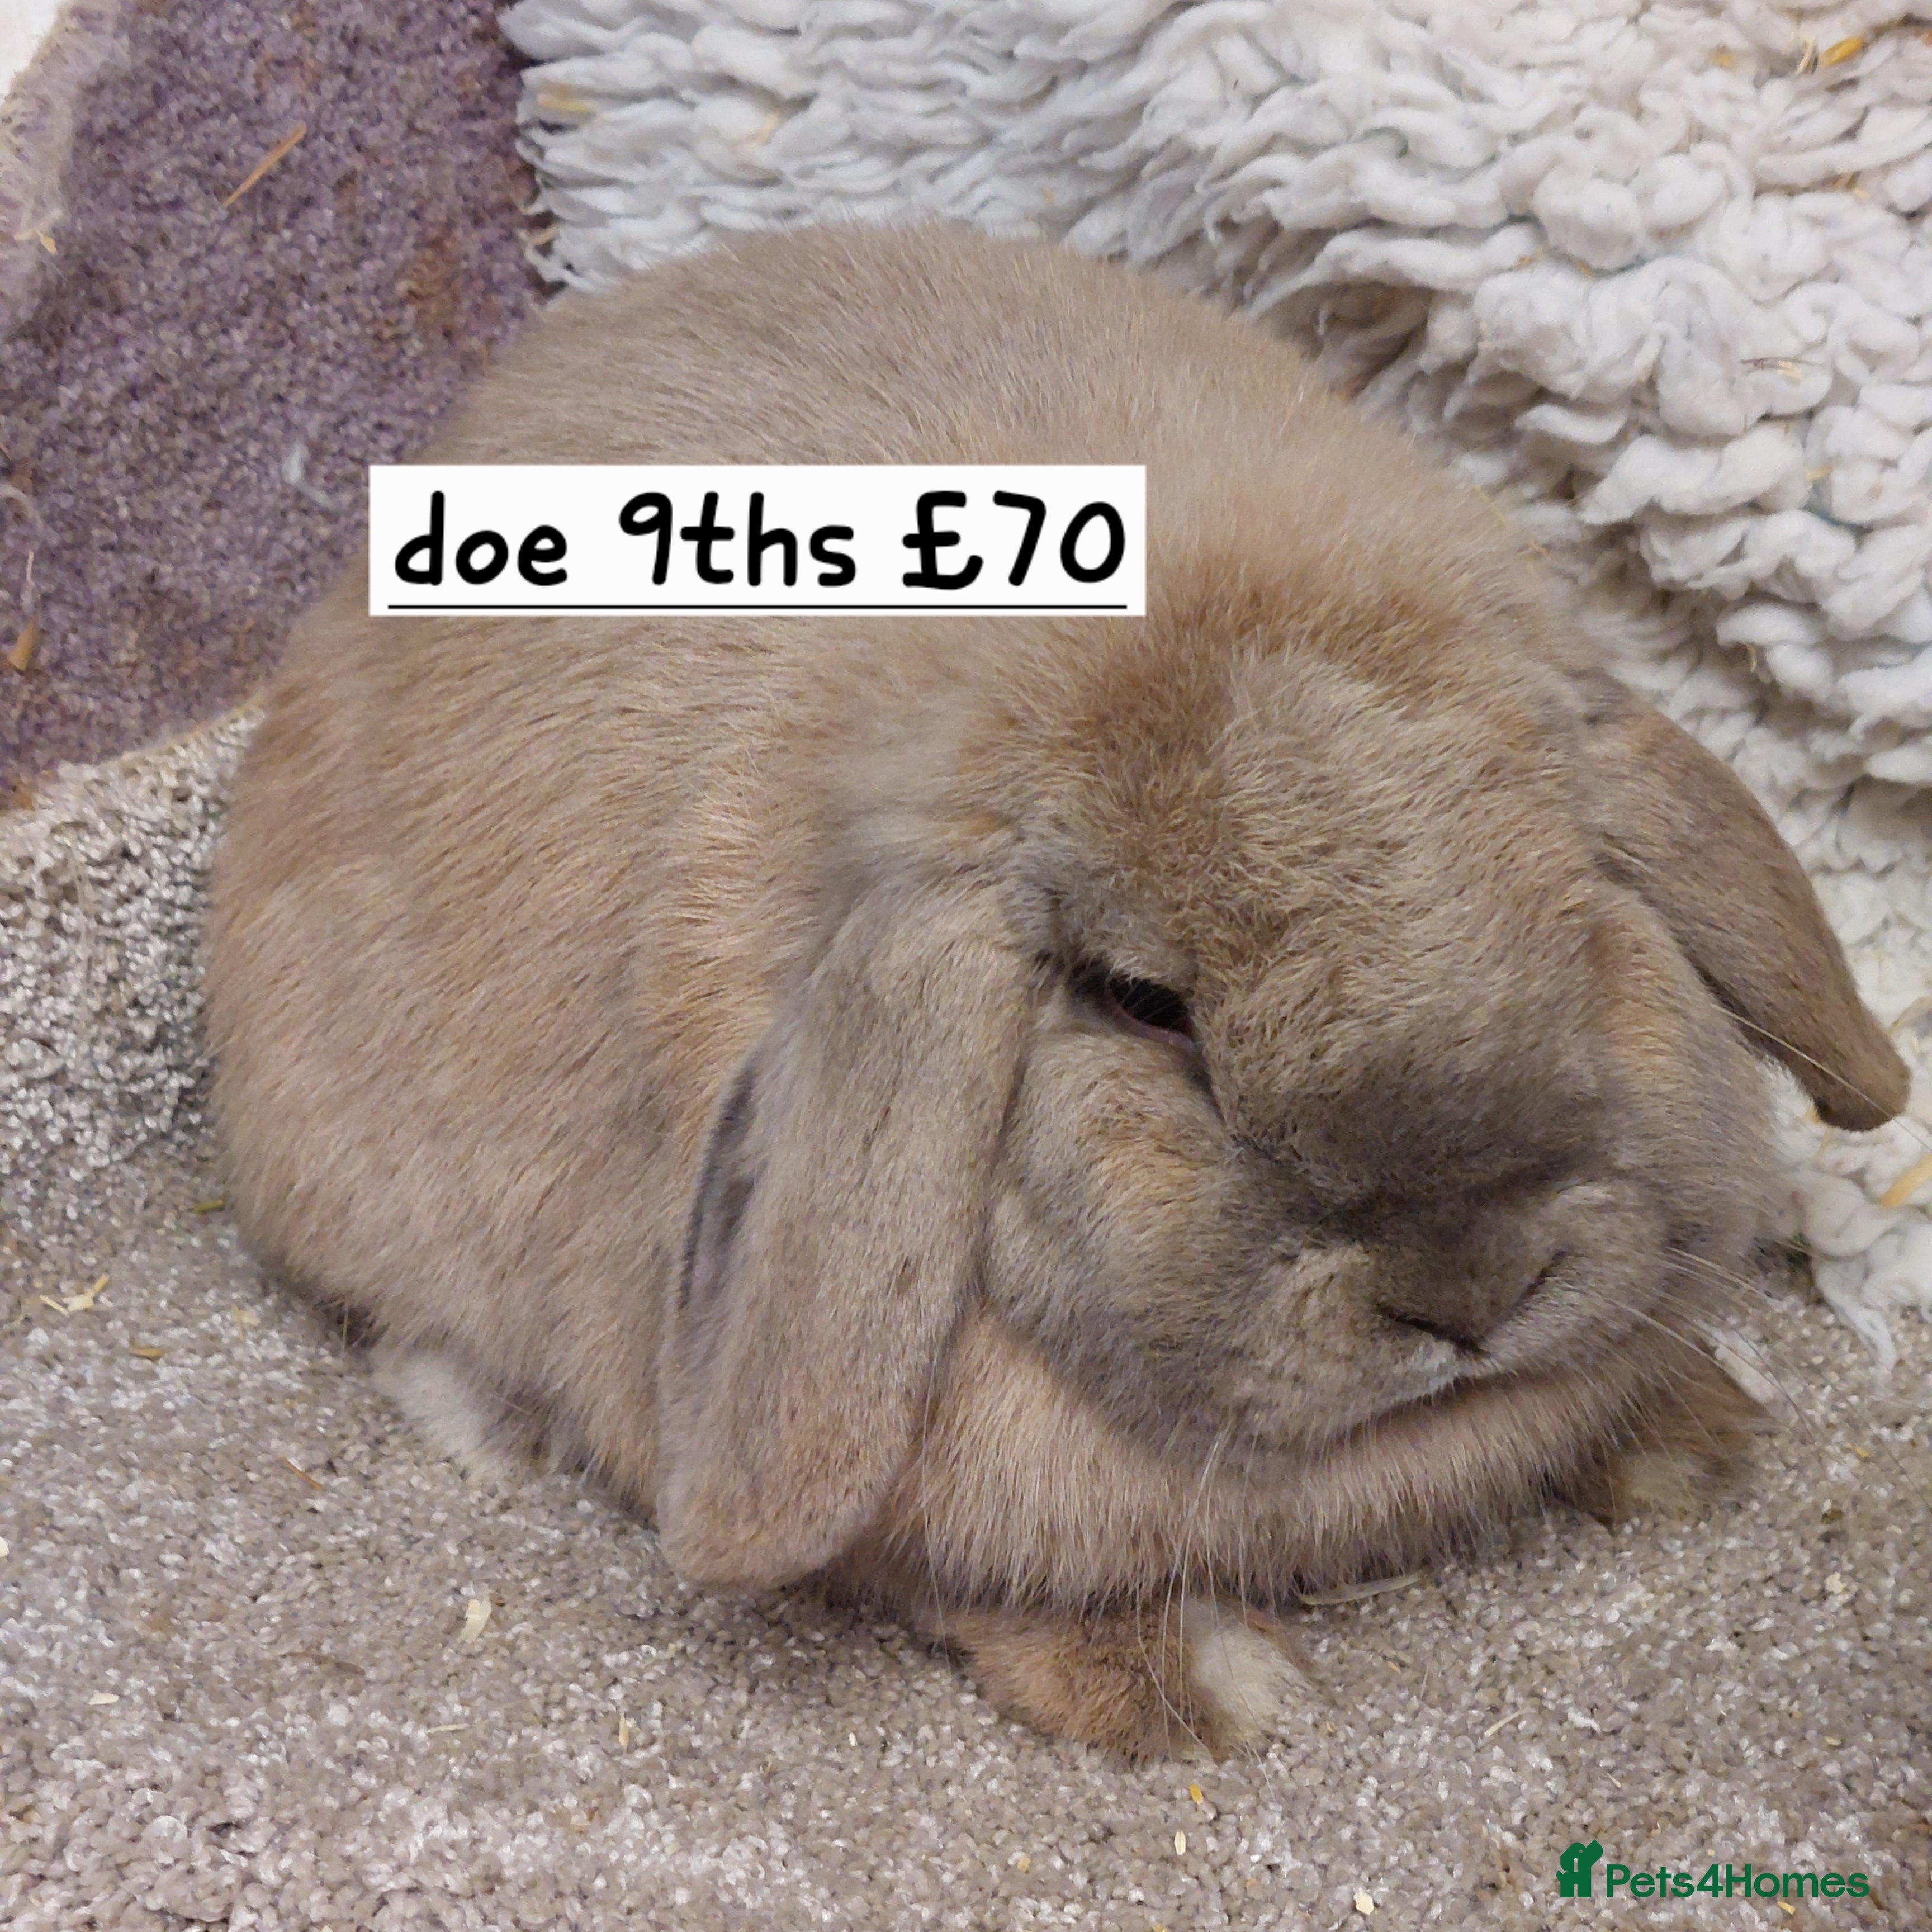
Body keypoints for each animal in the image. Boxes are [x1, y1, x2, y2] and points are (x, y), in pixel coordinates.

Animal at [203, 223, 1907, 1761]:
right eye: (1140, 1000)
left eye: (1576, 891)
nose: (1468, 1290)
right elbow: (966, 1586)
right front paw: (1208, 1687)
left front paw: (1695, 1434)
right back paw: (496, 1428)